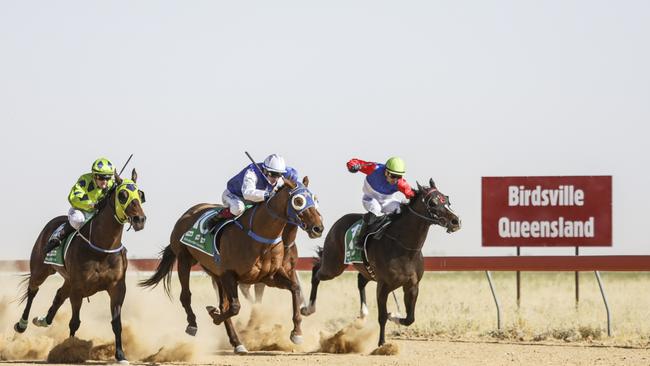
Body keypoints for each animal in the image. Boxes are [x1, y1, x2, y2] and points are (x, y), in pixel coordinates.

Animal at [13, 169, 146, 364]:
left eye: (141, 194)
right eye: (122, 195)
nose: (140, 219)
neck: (102, 247)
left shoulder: (117, 287)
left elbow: (116, 323)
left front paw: (120, 355)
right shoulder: (78, 288)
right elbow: (74, 322)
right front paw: (69, 350)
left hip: (68, 279)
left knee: (59, 295)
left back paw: (44, 320)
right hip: (41, 269)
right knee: (33, 290)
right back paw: (22, 324)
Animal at [142, 177, 324, 354]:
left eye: (315, 198)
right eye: (298, 200)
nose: (318, 228)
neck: (259, 236)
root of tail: (188, 213)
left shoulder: (269, 276)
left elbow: (294, 288)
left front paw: (297, 333)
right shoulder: (229, 275)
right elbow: (235, 307)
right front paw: (214, 315)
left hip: (215, 273)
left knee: (223, 304)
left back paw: (237, 343)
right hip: (185, 259)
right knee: (186, 295)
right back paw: (193, 324)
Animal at [300, 179, 458, 346]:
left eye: (447, 199)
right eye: (433, 202)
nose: (456, 221)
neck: (404, 249)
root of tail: (337, 223)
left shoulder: (412, 285)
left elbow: (410, 318)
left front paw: (393, 316)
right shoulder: (383, 286)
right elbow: (382, 316)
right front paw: (382, 343)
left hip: (365, 270)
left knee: (360, 280)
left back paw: (362, 316)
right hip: (333, 266)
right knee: (316, 272)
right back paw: (308, 308)